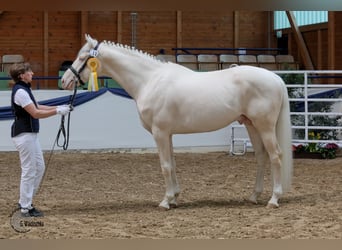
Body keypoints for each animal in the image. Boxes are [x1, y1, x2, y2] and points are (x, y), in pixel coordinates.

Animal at [61, 33, 292, 209]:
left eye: (82, 58)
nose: (64, 80)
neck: (150, 80)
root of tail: (275, 78)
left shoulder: (160, 132)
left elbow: (164, 165)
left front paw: (166, 201)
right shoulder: (168, 134)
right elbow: (172, 163)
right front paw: (175, 197)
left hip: (265, 126)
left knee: (276, 156)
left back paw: (273, 199)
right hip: (251, 125)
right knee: (262, 157)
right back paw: (254, 196)